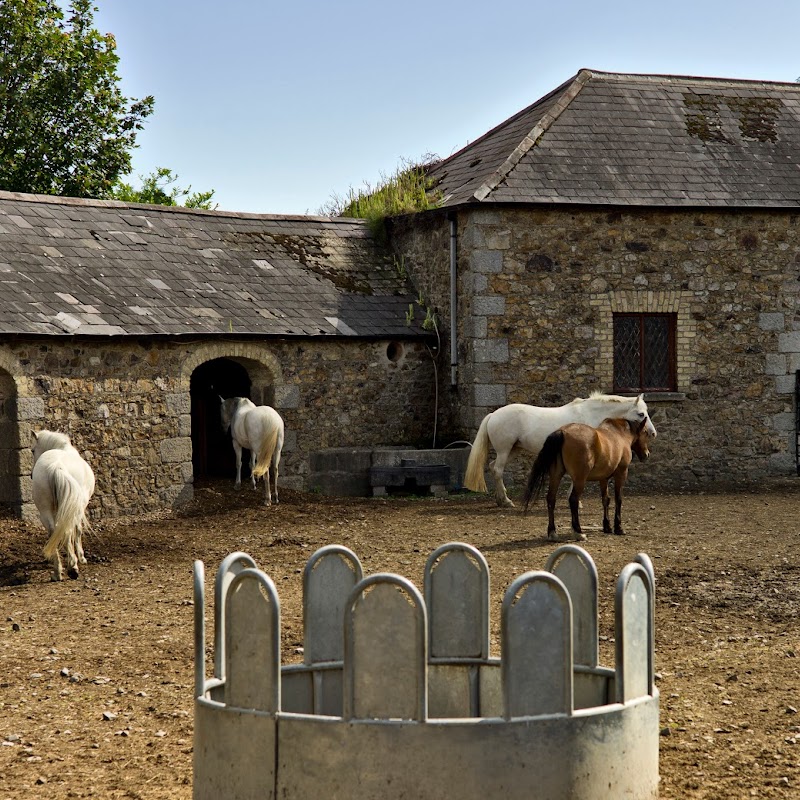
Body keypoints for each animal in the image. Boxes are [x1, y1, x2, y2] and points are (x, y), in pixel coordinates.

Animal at [31, 432, 95, 580]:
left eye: (32, 450)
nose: (30, 475)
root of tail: (56, 467)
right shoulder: (78, 508)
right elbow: (77, 530)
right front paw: (81, 557)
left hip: (45, 511)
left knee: (53, 531)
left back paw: (57, 572)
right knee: (67, 530)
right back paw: (73, 568)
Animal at [462, 392, 656, 506]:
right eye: (641, 414)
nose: (653, 433)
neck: (591, 415)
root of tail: (493, 415)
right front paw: (576, 500)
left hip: (512, 450)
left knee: (493, 467)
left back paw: (500, 500)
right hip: (504, 450)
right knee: (497, 470)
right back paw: (506, 500)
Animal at [520, 416, 652, 540]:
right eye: (645, 432)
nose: (647, 454)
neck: (620, 435)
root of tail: (562, 432)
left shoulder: (603, 478)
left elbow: (606, 500)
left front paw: (607, 526)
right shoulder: (621, 474)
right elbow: (618, 499)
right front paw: (618, 528)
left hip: (556, 475)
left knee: (551, 499)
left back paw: (552, 532)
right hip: (579, 480)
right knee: (573, 499)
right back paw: (578, 531)